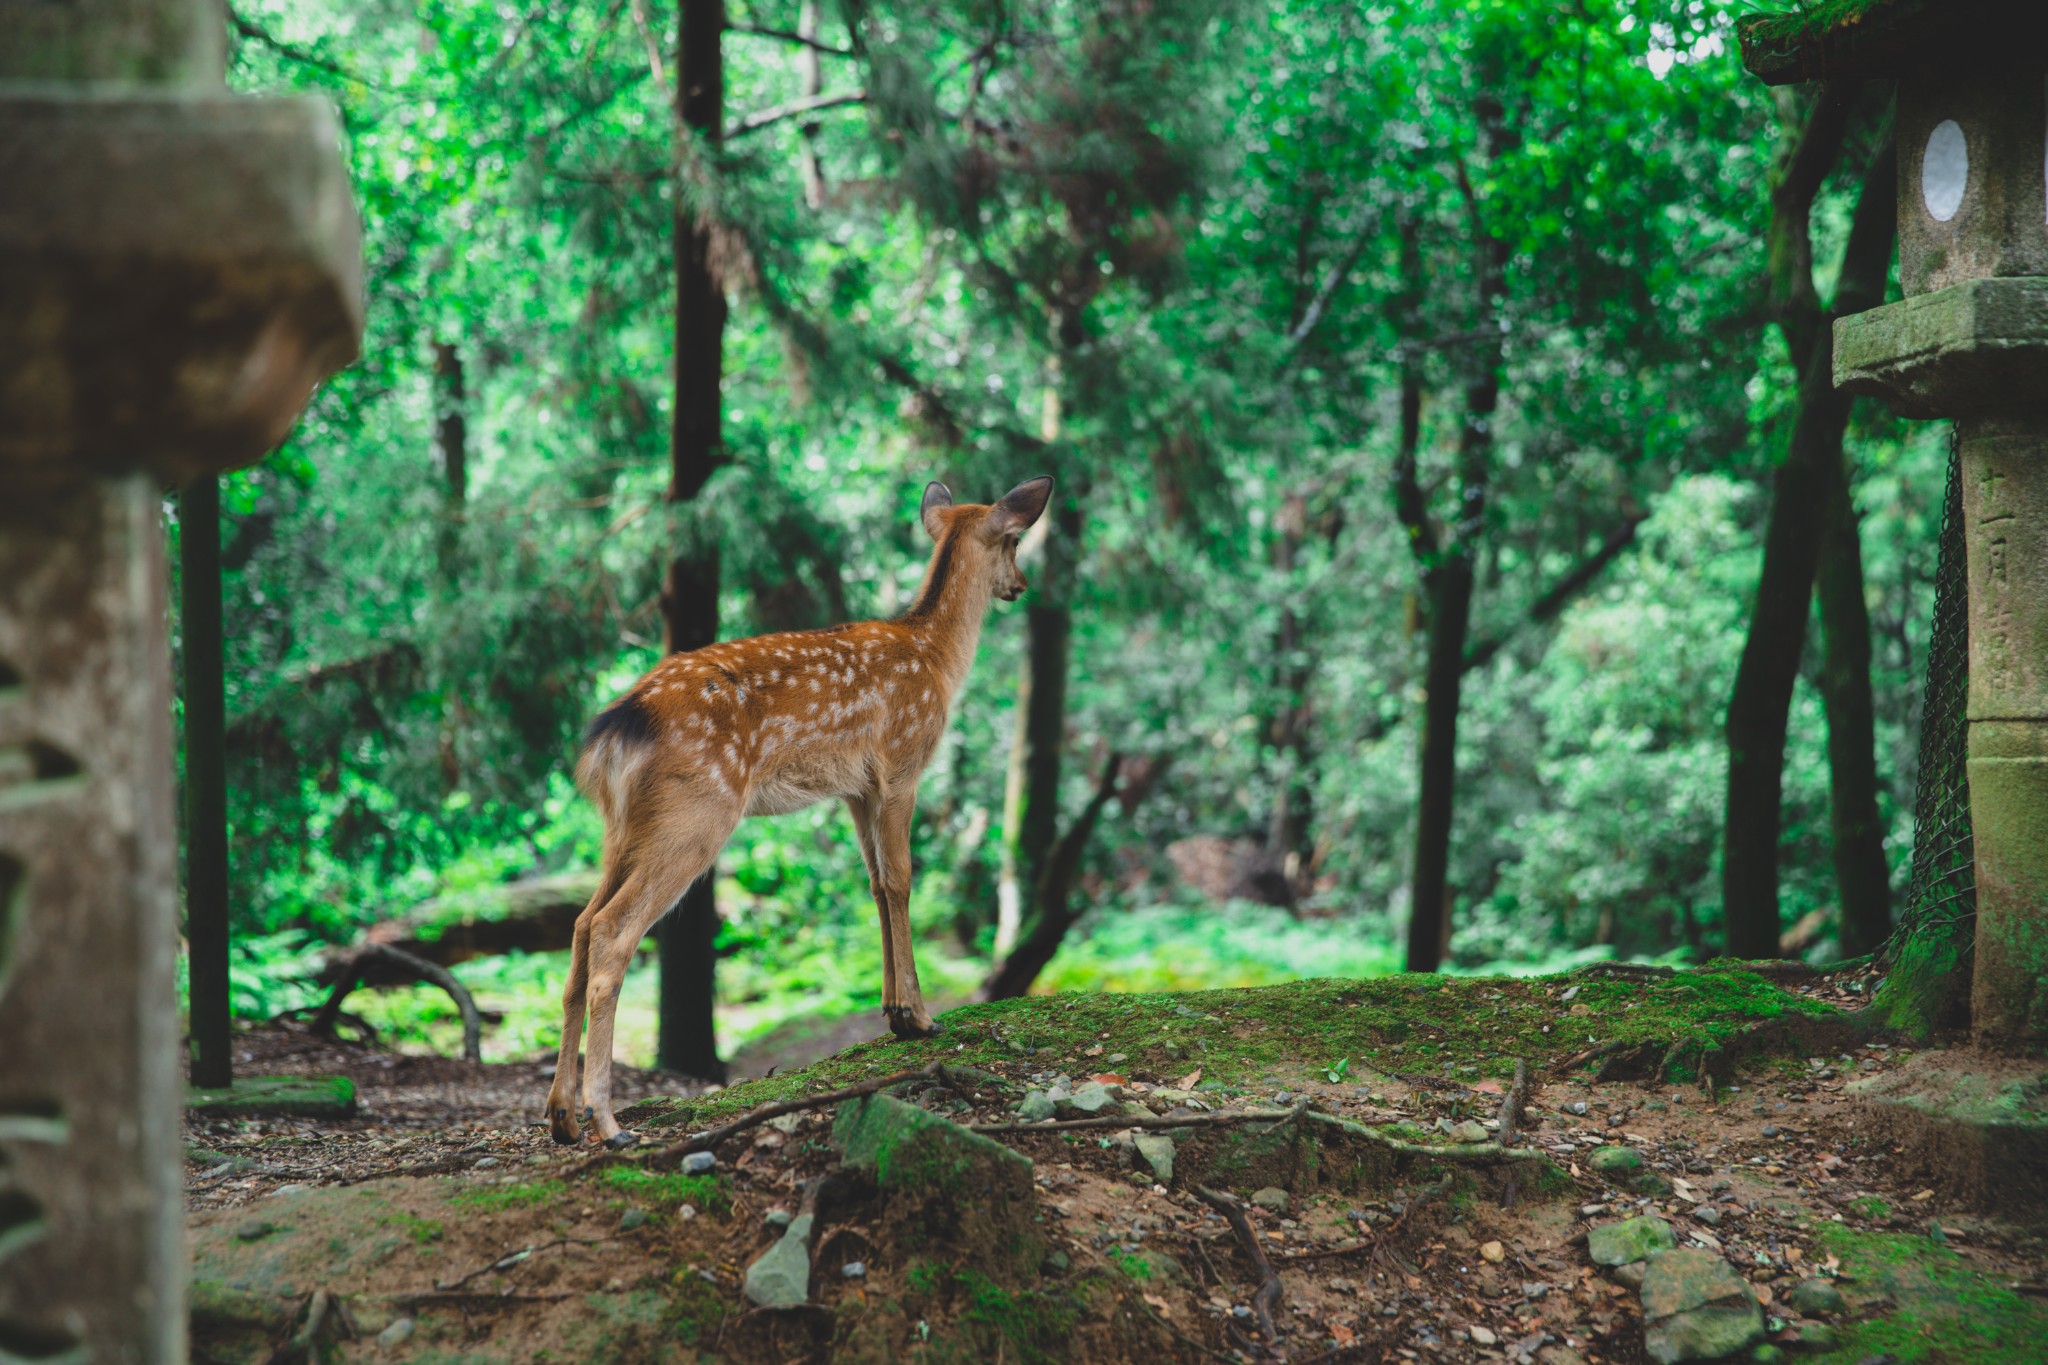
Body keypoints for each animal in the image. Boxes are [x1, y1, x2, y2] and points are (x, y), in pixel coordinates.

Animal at [544, 474, 1056, 1146]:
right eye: (1015, 540)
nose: (1020, 586)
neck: (937, 657)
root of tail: (617, 728)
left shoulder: (857, 789)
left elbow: (876, 885)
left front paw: (893, 1011)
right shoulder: (902, 765)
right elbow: (903, 880)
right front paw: (920, 1017)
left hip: (622, 826)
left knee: (580, 925)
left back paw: (561, 1115)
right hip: (697, 811)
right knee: (611, 929)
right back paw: (608, 1122)